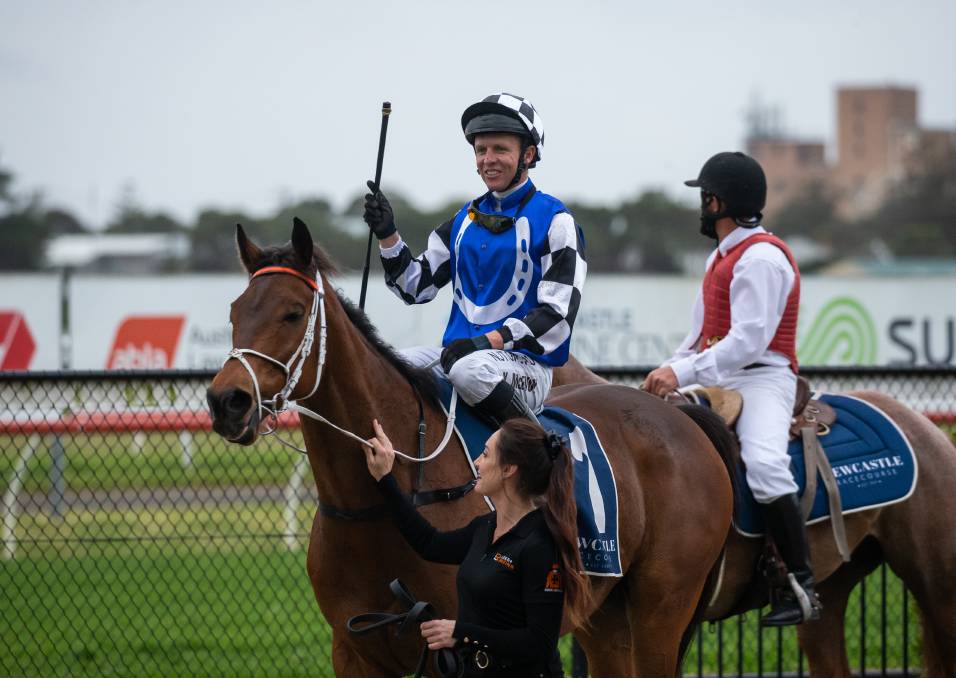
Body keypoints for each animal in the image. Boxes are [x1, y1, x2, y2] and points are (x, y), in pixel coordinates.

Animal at [205, 220, 736, 676]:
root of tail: (677, 414)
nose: (227, 401)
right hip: (604, 616)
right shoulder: (353, 649)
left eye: (292, 313)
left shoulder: (448, 645)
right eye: (233, 312)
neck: (376, 502)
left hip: (659, 611)